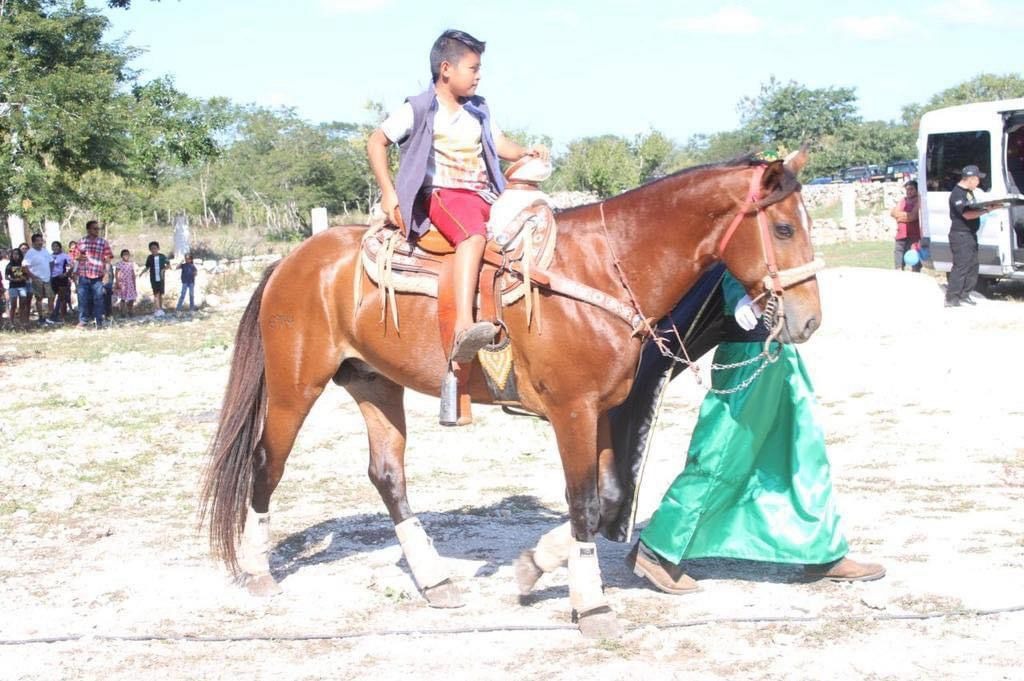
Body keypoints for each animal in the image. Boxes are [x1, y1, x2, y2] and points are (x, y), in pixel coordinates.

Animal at [199, 148, 823, 639]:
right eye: (784, 229)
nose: (809, 320)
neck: (603, 267)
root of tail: (291, 260)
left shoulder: (603, 408)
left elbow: (611, 496)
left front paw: (533, 567)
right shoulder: (572, 410)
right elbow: (584, 502)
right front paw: (590, 604)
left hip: (374, 383)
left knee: (387, 475)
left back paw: (434, 580)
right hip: (293, 387)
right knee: (266, 464)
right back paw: (258, 570)